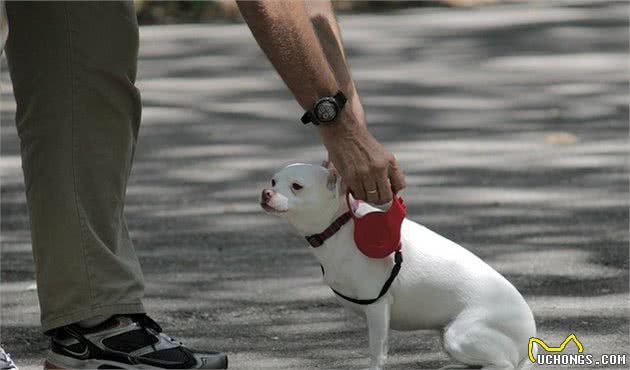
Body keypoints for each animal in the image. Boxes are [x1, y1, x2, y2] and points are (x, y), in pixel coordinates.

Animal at [262, 163, 540, 368]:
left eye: (297, 187)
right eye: (273, 181)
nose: (266, 193)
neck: (339, 225)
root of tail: (529, 337)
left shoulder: (377, 308)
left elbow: (377, 353)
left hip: (458, 335)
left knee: (502, 365)